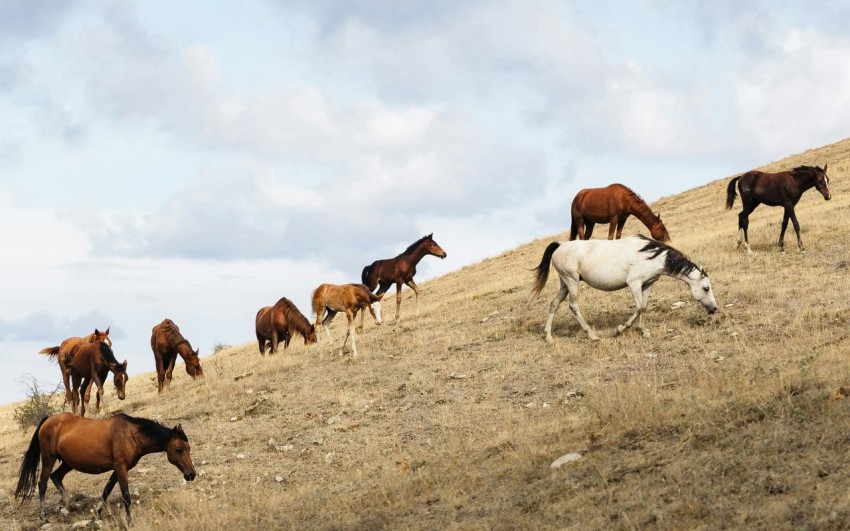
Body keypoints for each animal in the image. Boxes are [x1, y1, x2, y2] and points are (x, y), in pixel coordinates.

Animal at [15, 412, 195, 522]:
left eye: (188, 448)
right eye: (178, 449)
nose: (191, 474)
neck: (131, 435)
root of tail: (49, 419)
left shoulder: (118, 469)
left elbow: (106, 491)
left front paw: (97, 514)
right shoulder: (121, 468)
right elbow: (126, 496)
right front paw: (129, 521)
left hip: (67, 463)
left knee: (56, 477)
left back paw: (67, 505)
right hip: (48, 458)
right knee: (42, 484)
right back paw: (44, 516)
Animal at [531, 235, 717, 342]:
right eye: (706, 288)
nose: (714, 309)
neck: (651, 256)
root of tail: (560, 245)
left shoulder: (647, 284)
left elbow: (644, 307)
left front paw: (644, 331)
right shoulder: (634, 283)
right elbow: (639, 307)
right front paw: (620, 330)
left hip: (565, 284)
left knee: (554, 304)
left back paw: (548, 337)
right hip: (572, 281)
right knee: (573, 306)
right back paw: (592, 335)